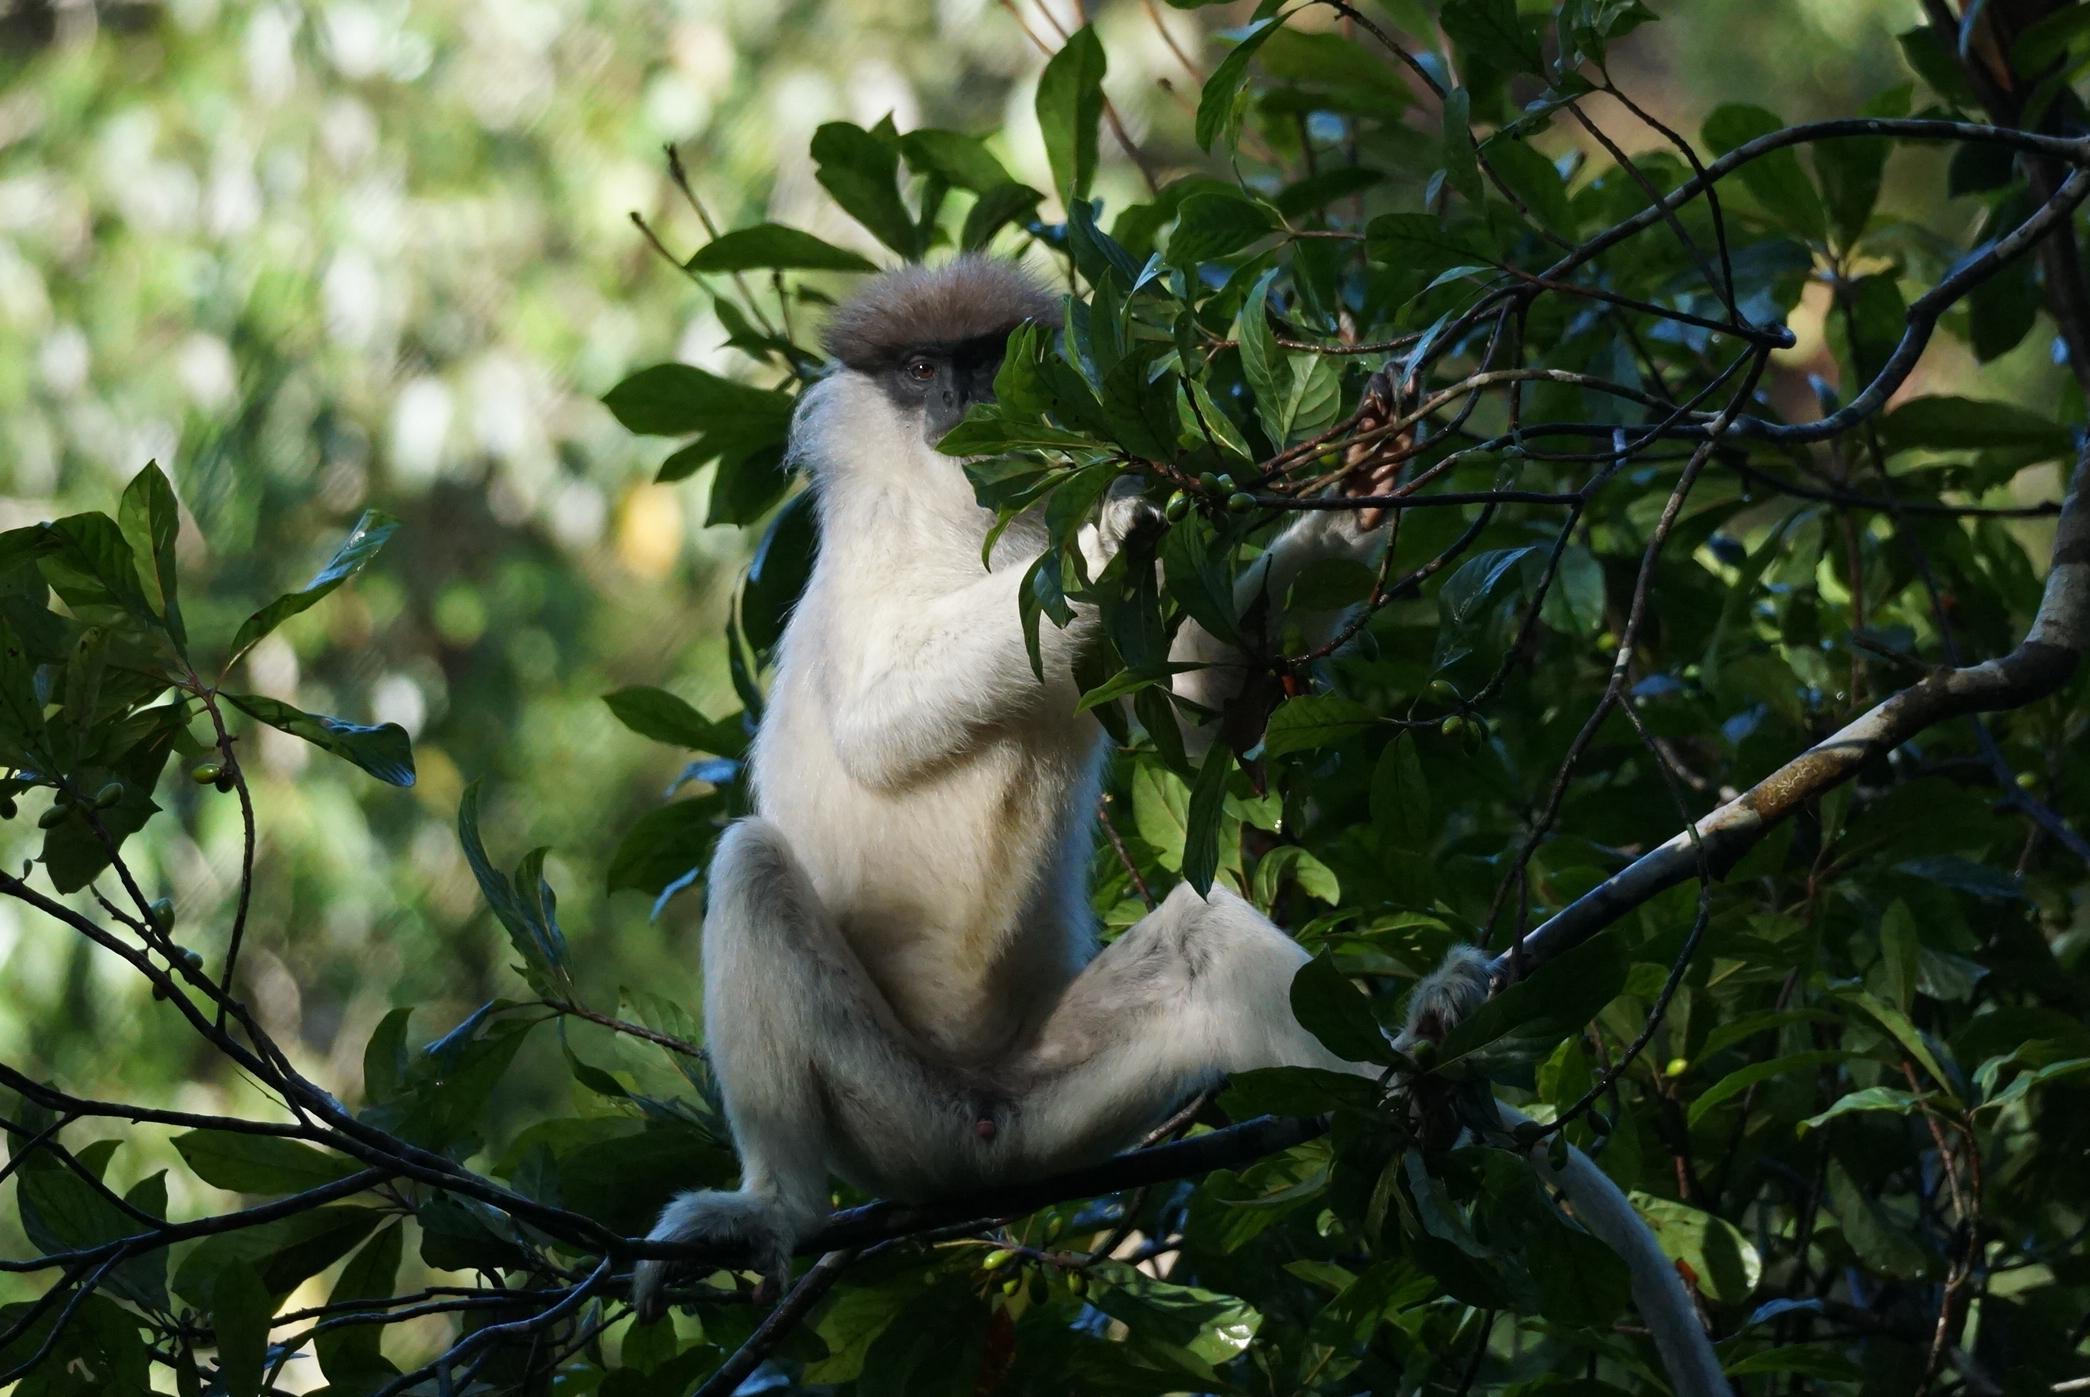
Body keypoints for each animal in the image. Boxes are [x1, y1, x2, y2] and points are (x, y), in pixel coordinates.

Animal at [630, 257, 1730, 1396]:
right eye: (922, 369)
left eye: (987, 358)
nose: (963, 402)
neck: (959, 509)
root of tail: (975, 1136)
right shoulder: (868, 552)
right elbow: (873, 727)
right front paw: (1111, 535)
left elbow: (1202, 713)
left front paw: (1354, 499)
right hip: (886, 1108)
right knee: (751, 862)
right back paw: (770, 1207)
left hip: (1054, 1098)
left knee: (1206, 937)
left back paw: (1422, 1055)